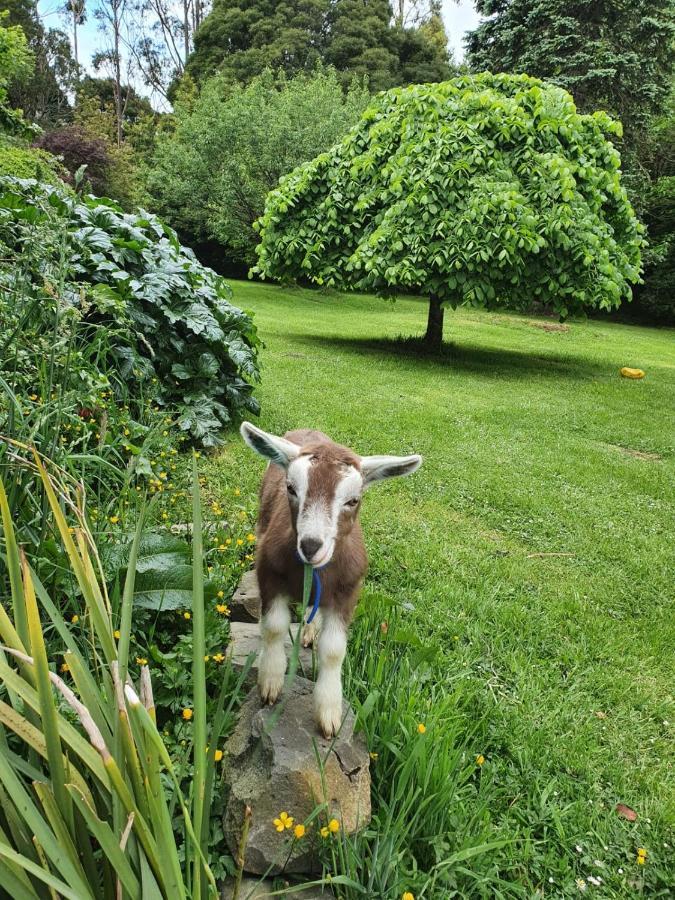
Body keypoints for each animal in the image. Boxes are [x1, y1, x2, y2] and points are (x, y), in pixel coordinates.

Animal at [239, 422, 422, 740]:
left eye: (353, 500)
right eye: (291, 488)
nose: (311, 545)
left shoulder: (347, 590)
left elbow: (334, 650)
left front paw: (329, 714)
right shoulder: (268, 572)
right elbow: (273, 627)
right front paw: (270, 682)